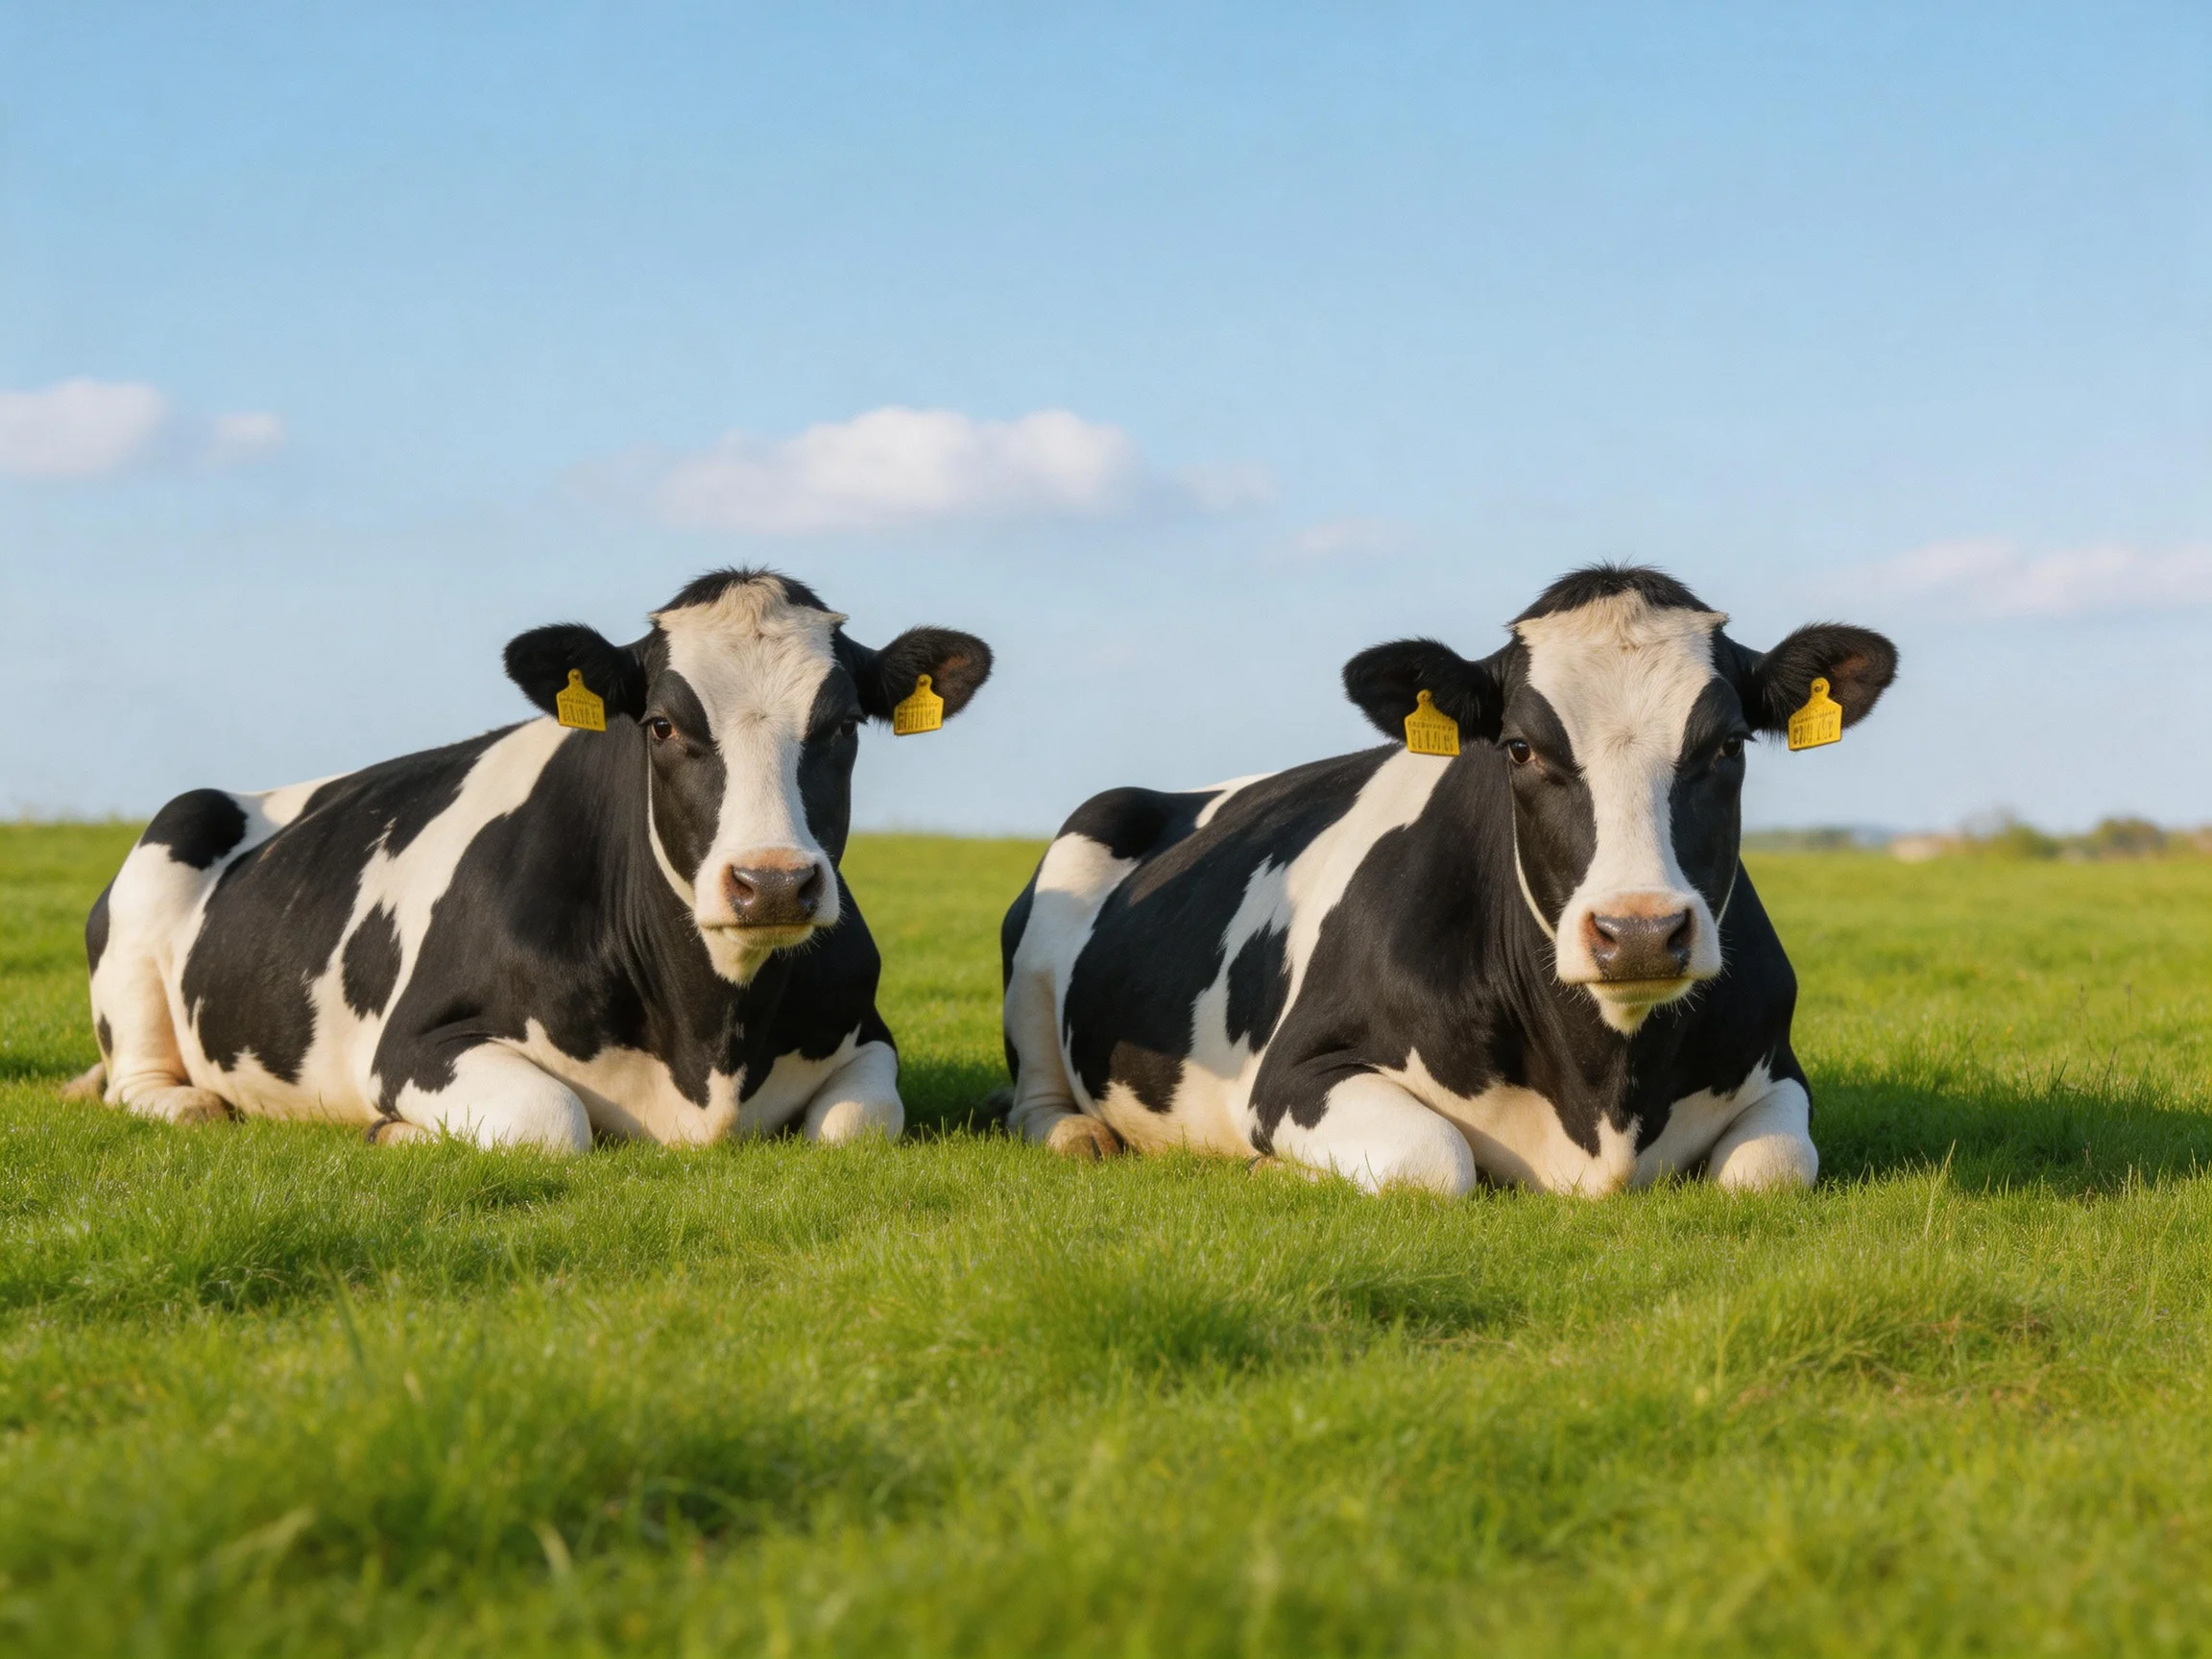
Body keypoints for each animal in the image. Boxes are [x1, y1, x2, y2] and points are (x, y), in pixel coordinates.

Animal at [66, 569, 992, 1152]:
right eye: (661, 724)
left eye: (842, 726)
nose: (770, 883)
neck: (712, 1043)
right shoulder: (410, 1043)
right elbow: (551, 1120)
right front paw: (394, 1133)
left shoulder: (869, 1035)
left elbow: (852, 1127)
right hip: (167, 853)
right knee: (141, 1081)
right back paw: (194, 1103)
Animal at [998, 566, 1896, 1196]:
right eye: (1520, 747)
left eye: (1730, 745)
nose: (1638, 932)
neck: (1605, 1095)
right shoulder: (1292, 1074)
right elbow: (1435, 1159)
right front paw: (1275, 1168)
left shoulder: (1780, 1069)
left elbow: (1766, 1171)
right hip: (1058, 901)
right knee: (1034, 1095)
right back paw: (1081, 1138)